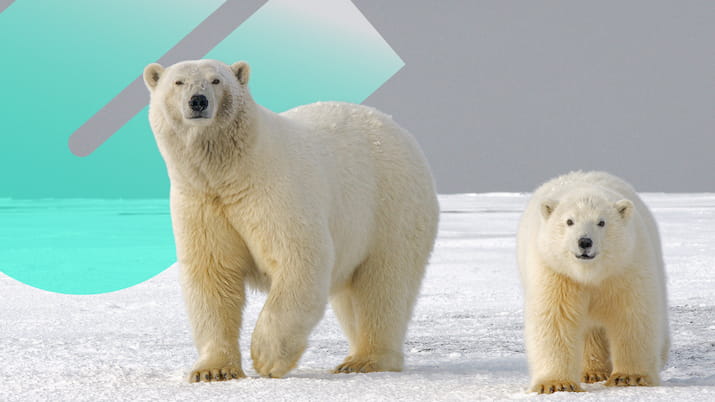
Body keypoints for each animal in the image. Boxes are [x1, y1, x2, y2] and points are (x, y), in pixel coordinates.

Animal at [143, 58, 440, 382]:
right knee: (352, 296)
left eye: (216, 80)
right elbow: (212, 275)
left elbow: (299, 257)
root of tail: (399, 130)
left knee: (383, 284)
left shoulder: (274, 190)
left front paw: (266, 357)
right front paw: (213, 370)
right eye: (178, 82)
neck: (231, 171)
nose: (198, 101)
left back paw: (365, 360)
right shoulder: (201, 202)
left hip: (390, 207)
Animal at [516, 171, 668, 394]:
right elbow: (555, 319)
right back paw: (592, 372)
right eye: (569, 221)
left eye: (601, 222)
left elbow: (632, 315)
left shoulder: (626, 267)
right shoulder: (556, 273)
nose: (584, 242)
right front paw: (556, 384)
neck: (590, 274)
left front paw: (629, 377)